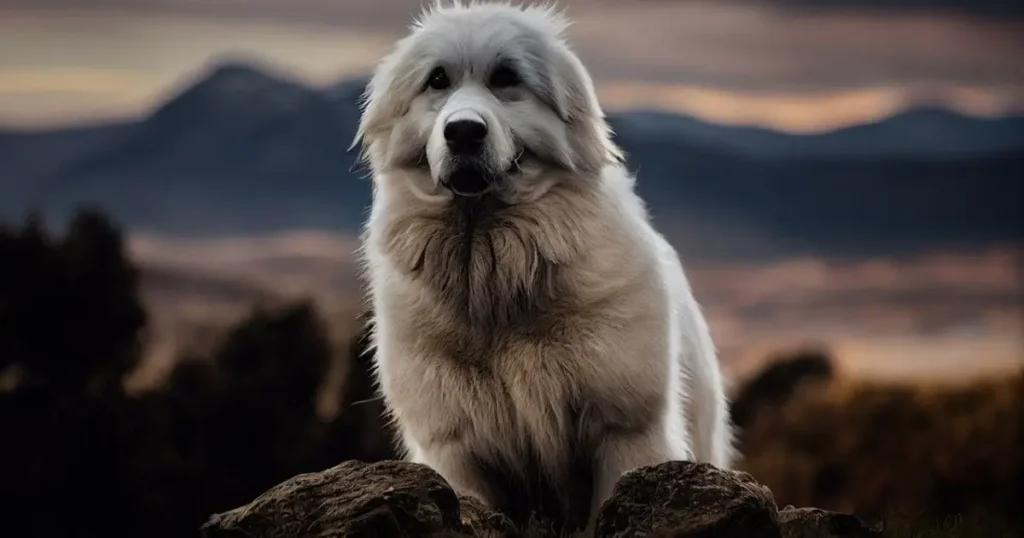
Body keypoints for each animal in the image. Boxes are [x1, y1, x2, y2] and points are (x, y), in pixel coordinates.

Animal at [354, 1, 737, 532]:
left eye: (506, 77)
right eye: (437, 80)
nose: (463, 131)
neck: (493, 277)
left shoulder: (626, 431)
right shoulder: (455, 449)